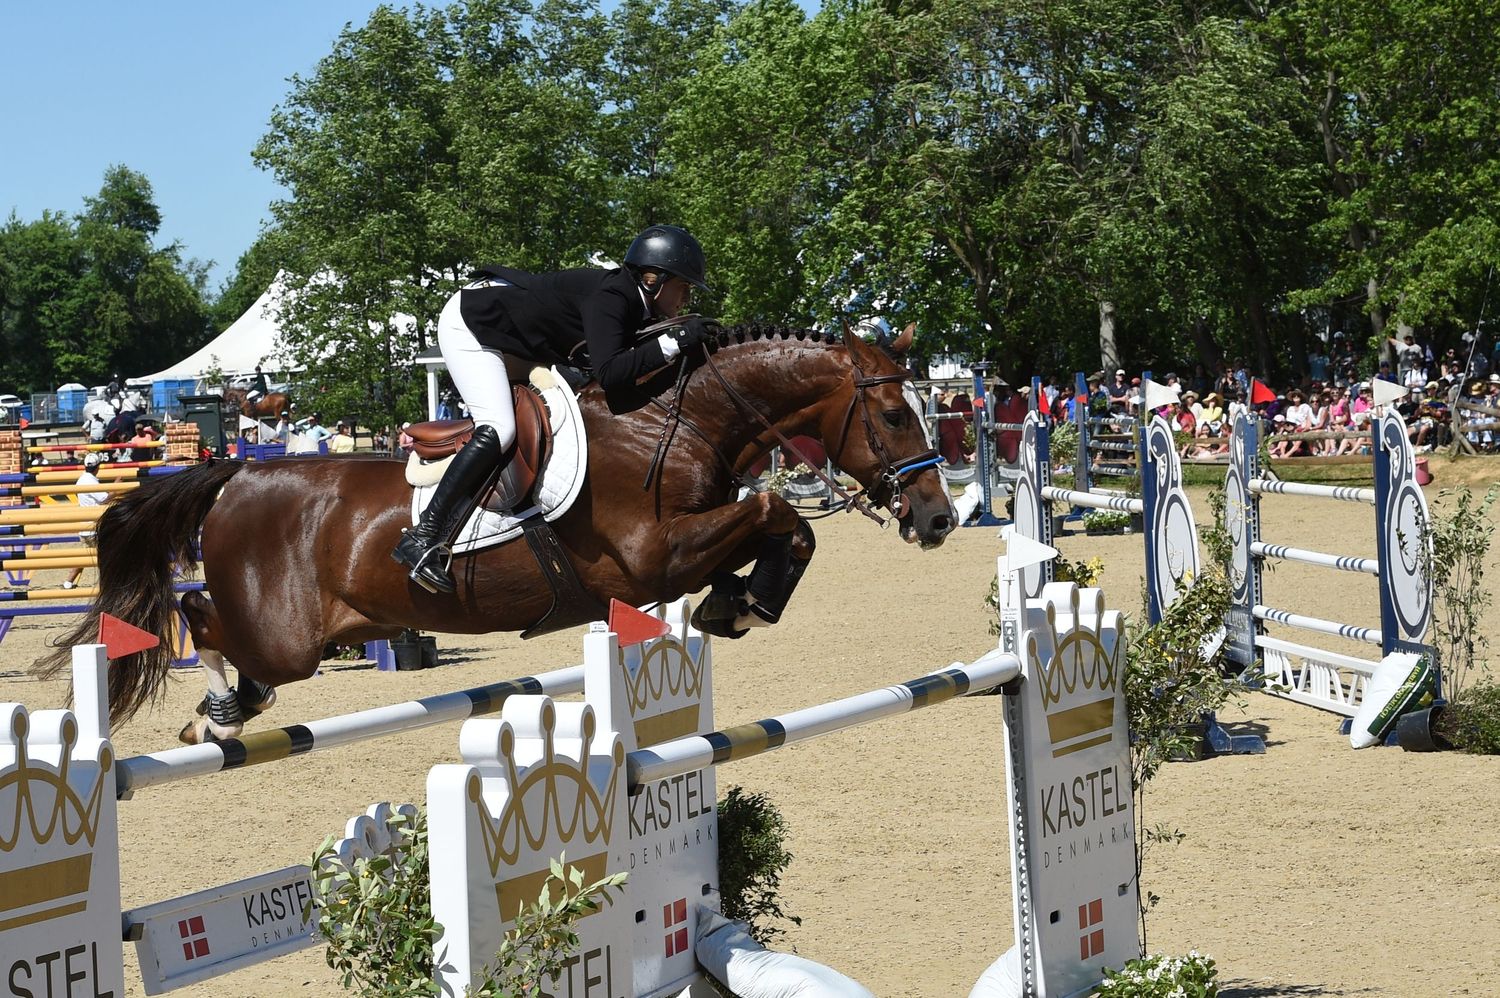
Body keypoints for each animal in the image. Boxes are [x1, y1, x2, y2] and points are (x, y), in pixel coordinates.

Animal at [41, 323, 956, 744]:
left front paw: (737, 602)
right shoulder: (649, 557)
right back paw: (217, 717)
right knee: (199, 619)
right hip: (285, 633)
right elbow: (777, 513)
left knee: (213, 627)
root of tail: (238, 473)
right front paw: (746, 600)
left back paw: (225, 711)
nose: (940, 516)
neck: (673, 419)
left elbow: (783, 529)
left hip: (321, 629)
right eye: (888, 414)